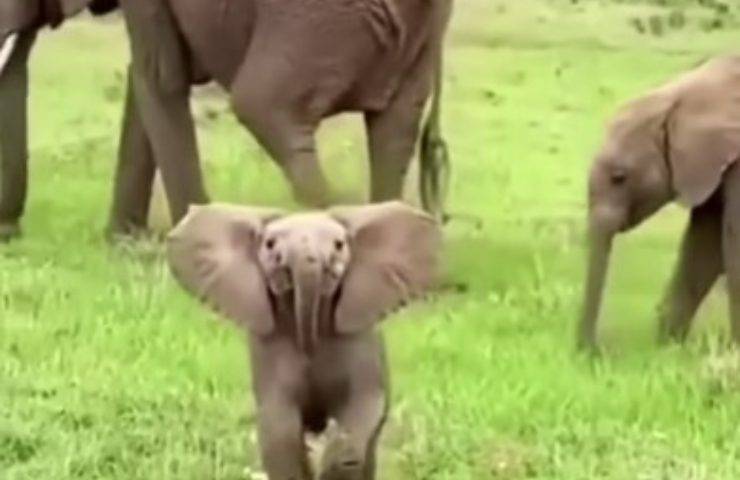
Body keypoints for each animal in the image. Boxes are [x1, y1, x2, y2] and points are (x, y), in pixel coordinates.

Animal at [165, 201, 440, 478]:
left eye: (339, 245)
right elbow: (280, 430)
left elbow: (362, 404)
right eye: (270, 244)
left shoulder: (360, 342)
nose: (319, 424)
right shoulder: (271, 349)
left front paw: (334, 459)